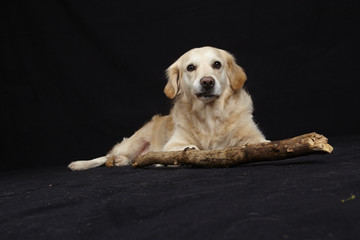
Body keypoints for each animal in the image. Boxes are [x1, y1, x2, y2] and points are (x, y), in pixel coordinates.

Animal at [69, 46, 268, 171]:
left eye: (217, 64)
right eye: (190, 67)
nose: (207, 82)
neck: (210, 116)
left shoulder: (255, 137)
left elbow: (259, 144)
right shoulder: (173, 144)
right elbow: (190, 148)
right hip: (134, 142)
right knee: (107, 155)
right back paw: (80, 164)